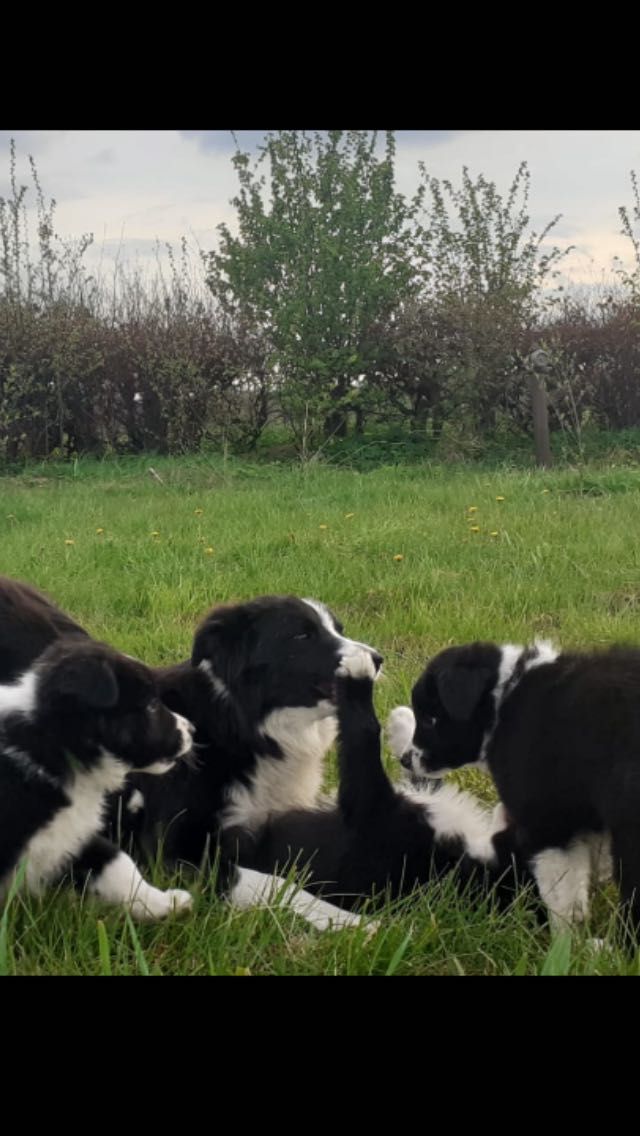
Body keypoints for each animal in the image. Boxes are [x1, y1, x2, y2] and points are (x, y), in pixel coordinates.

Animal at [400, 645, 636, 936]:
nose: (404, 760)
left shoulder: (545, 820)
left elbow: (561, 887)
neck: (503, 701)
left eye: (430, 719)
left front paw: (566, 938)